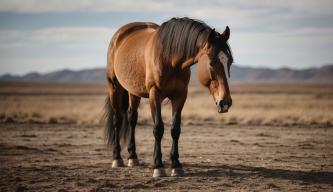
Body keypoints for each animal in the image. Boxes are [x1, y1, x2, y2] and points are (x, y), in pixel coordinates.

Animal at [105, 16, 232, 177]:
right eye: (211, 62)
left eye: (230, 61)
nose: (225, 102)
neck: (169, 58)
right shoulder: (155, 95)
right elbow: (158, 129)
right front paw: (158, 166)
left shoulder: (180, 96)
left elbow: (175, 129)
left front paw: (176, 165)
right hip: (114, 86)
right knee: (117, 120)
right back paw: (117, 158)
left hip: (133, 91)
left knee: (131, 119)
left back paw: (132, 157)